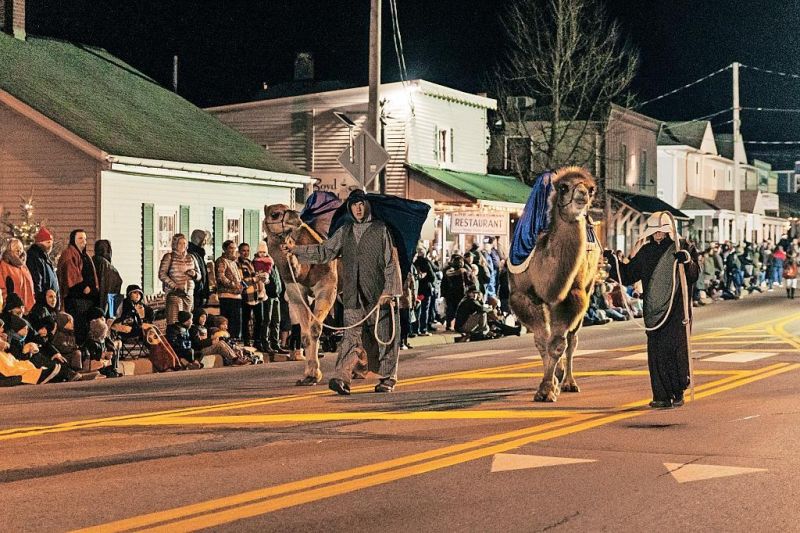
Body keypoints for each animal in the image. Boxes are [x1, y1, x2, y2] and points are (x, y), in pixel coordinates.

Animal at [262, 203, 338, 382]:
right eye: (275, 214)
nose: (296, 218)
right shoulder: (296, 292)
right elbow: (304, 334)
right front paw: (309, 375)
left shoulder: (327, 287)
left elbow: (315, 328)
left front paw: (315, 374)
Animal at [512, 166, 600, 400]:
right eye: (563, 187)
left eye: (591, 189)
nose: (583, 195)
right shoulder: (524, 296)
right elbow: (542, 343)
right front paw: (548, 384)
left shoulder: (571, 296)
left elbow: (558, 344)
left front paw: (548, 389)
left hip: (589, 287)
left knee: (572, 339)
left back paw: (568, 381)